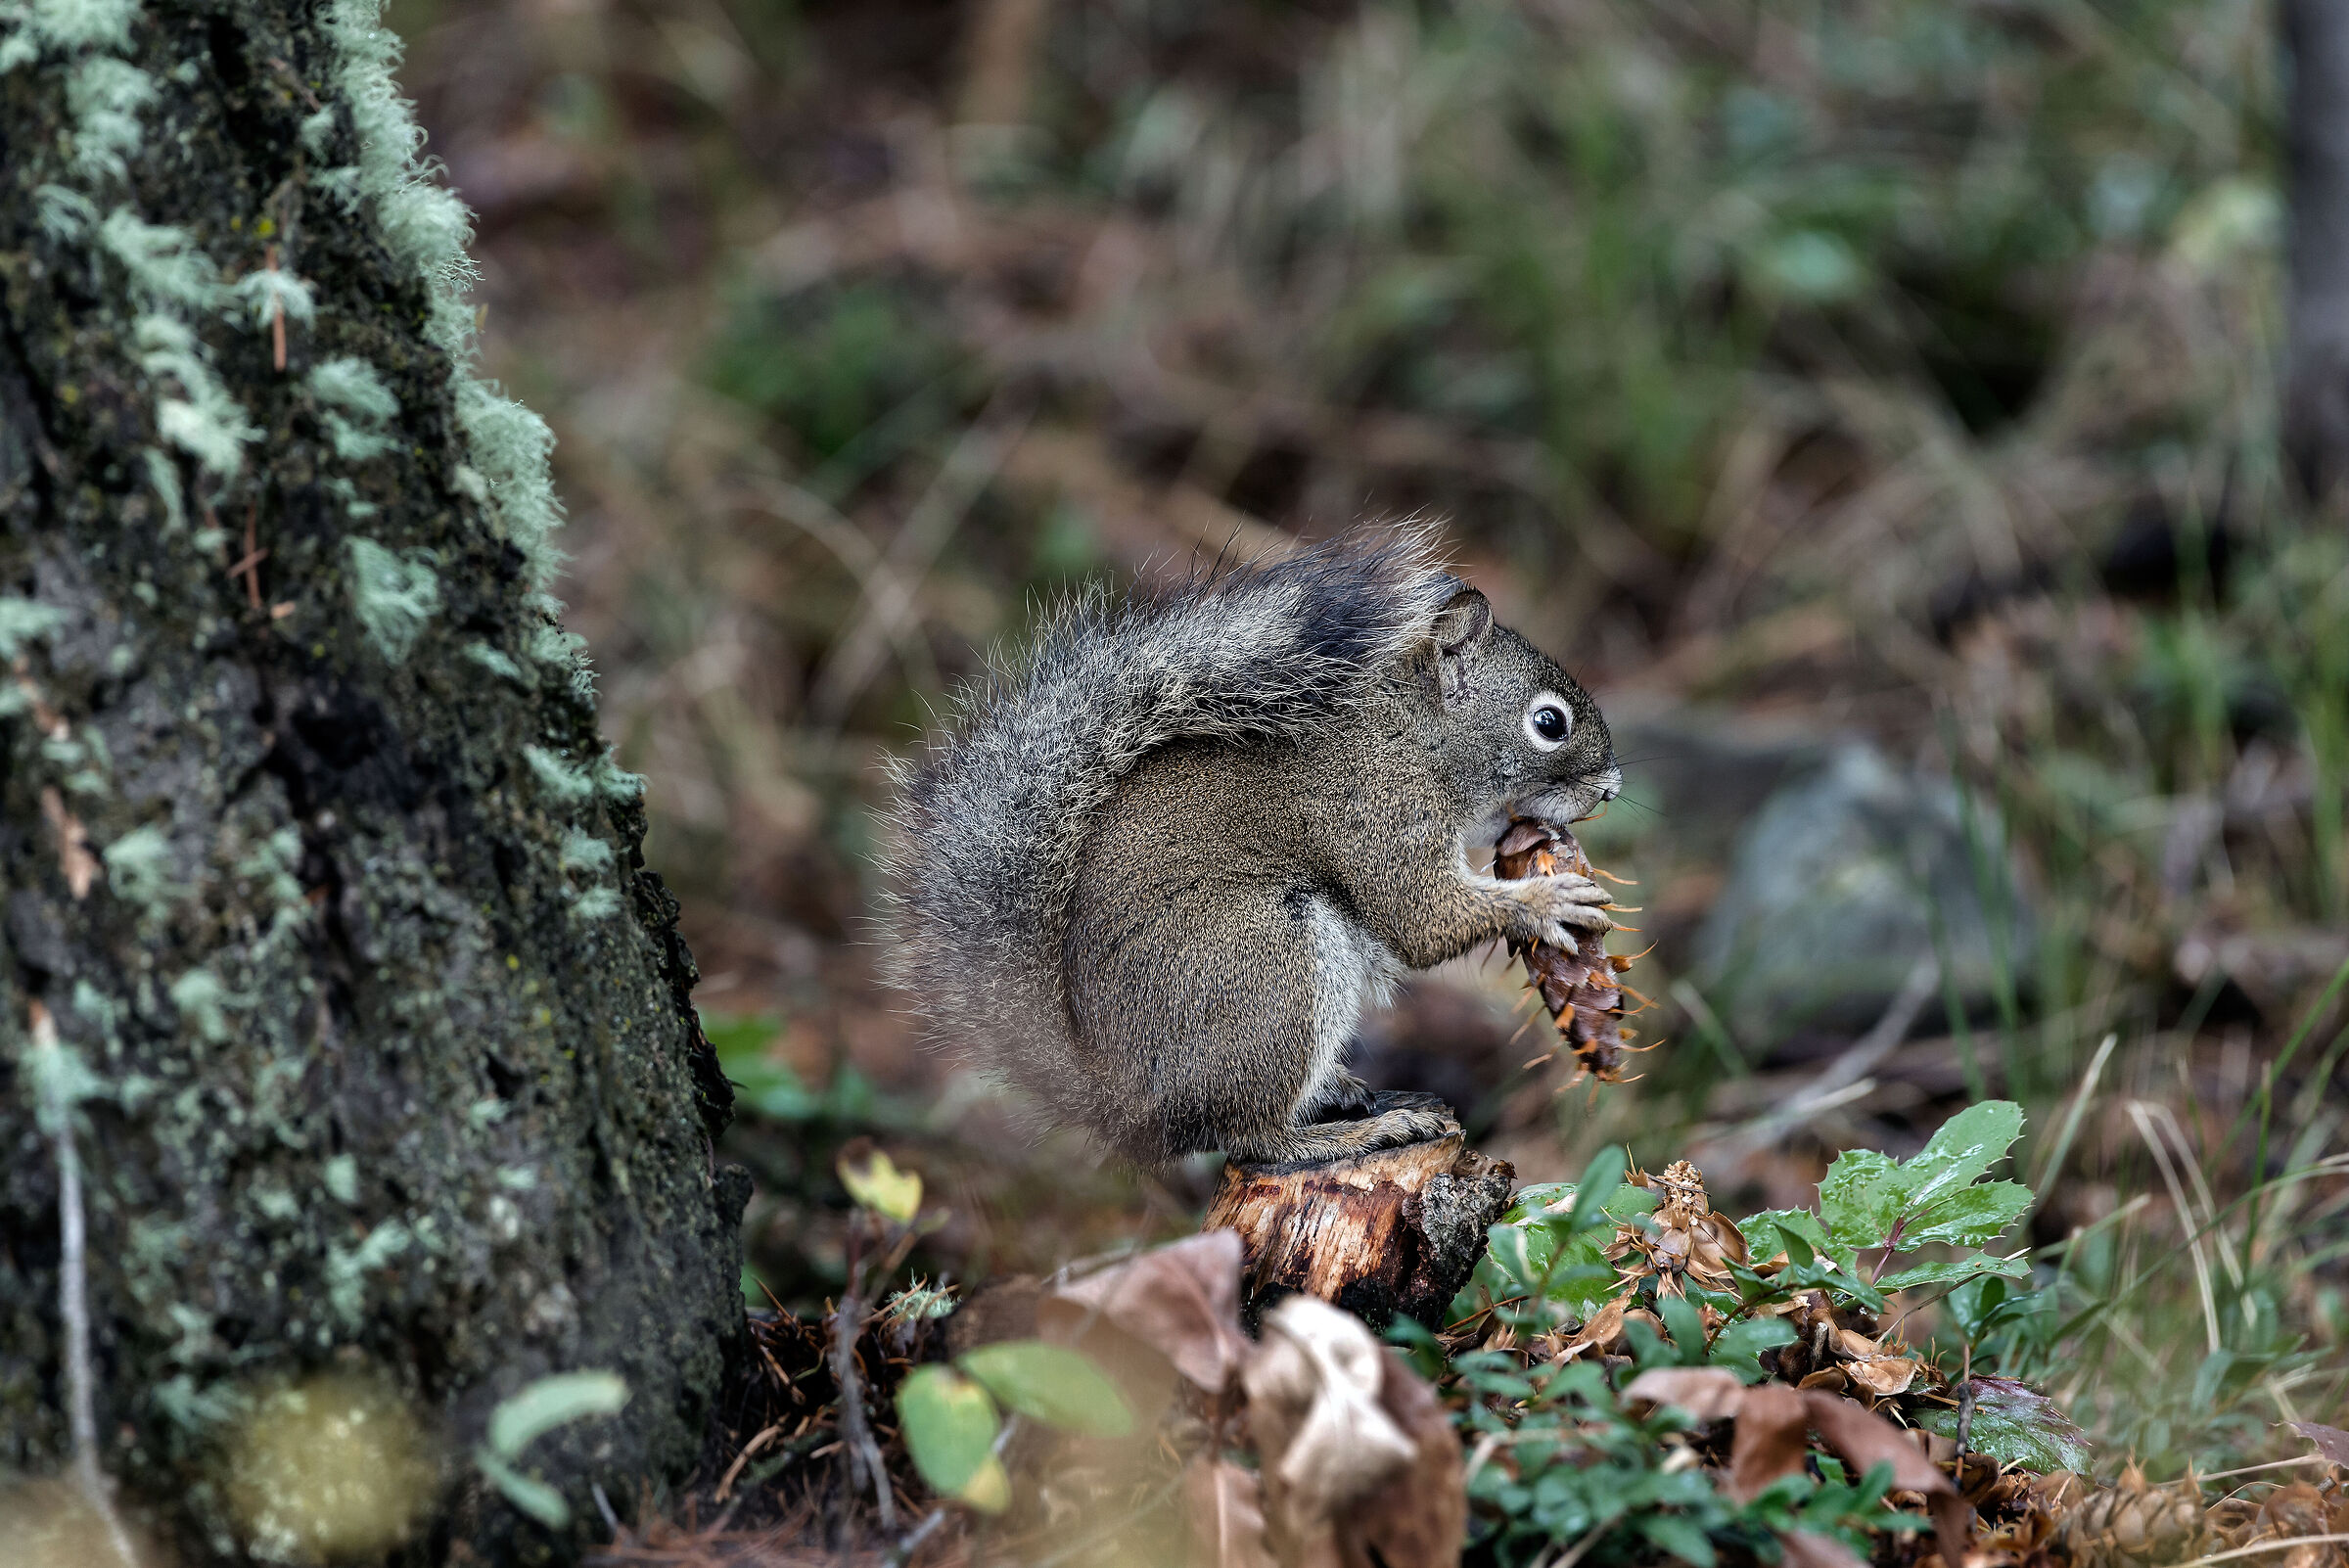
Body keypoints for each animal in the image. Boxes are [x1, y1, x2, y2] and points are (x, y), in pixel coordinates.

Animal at [883, 529, 1622, 1166]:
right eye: (1549, 723)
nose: (1613, 788)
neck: (1414, 736)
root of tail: (1125, 1103)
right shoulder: (1375, 814)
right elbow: (1424, 921)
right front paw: (1548, 898)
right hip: (1269, 963)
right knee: (1249, 1135)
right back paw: (1353, 1133)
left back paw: (1339, 1091)